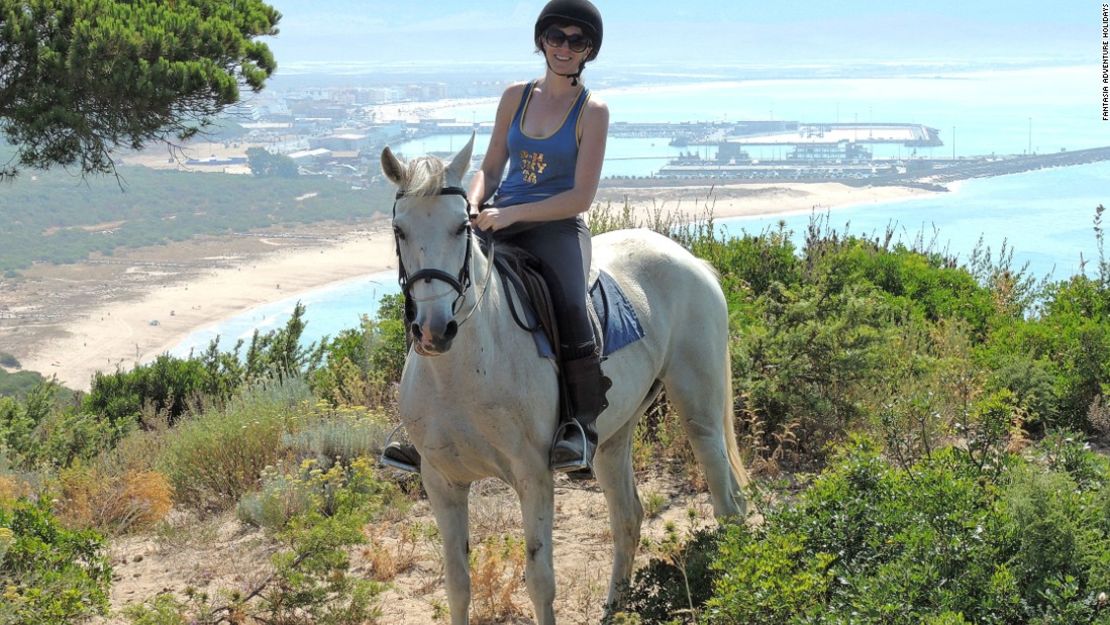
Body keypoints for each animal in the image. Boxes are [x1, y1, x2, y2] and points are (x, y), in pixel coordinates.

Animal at [381, 138, 754, 625]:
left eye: (461, 226)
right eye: (400, 230)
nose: (433, 331)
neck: (461, 373)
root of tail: (690, 259)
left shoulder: (533, 477)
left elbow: (540, 580)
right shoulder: (442, 482)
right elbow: (457, 584)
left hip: (700, 413)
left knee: (727, 503)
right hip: (613, 436)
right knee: (628, 518)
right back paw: (615, 608)